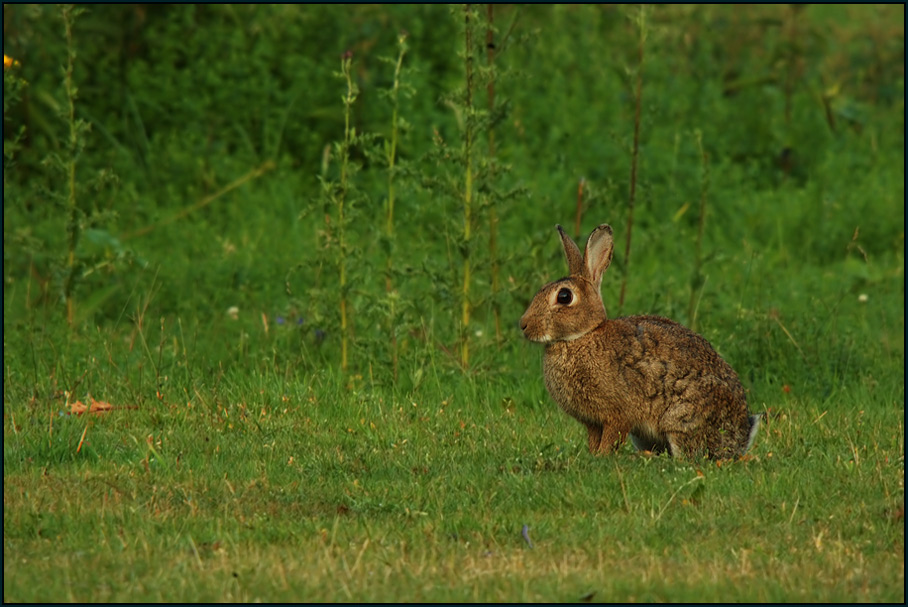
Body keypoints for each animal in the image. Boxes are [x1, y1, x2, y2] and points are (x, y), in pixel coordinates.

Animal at [516, 224, 760, 460]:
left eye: (564, 296)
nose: (523, 324)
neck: (581, 336)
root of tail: (739, 440)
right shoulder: (593, 423)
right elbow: (594, 440)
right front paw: (592, 455)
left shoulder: (618, 414)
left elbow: (611, 438)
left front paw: (601, 457)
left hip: (682, 417)